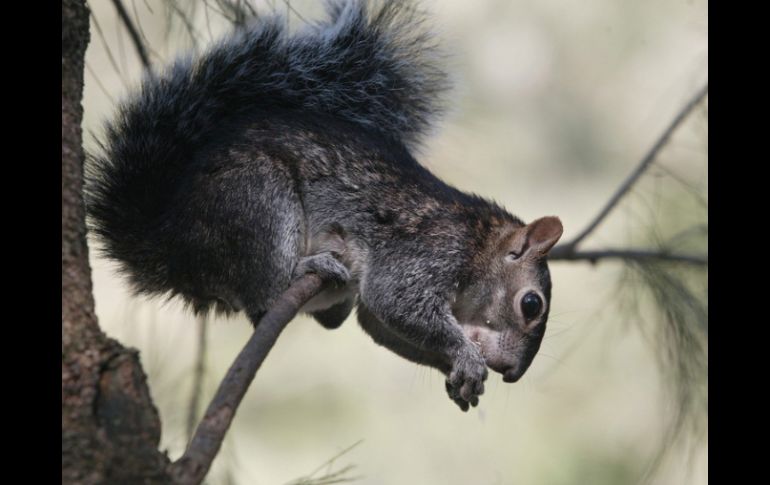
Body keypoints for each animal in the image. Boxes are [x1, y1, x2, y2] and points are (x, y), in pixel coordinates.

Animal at [85, 0, 564, 410]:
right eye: (531, 305)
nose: (511, 371)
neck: (478, 243)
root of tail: (171, 245)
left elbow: (379, 321)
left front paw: (461, 368)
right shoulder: (427, 253)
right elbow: (395, 302)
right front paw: (464, 356)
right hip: (257, 200)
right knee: (264, 300)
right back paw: (310, 267)